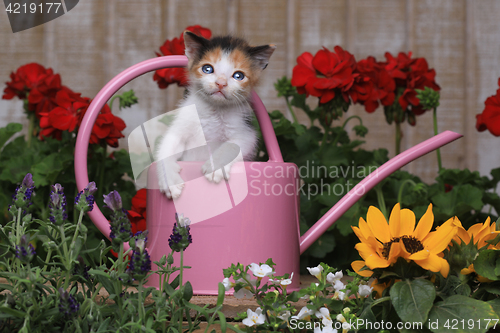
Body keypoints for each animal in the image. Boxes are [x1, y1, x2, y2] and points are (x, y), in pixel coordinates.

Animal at [154, 31, 276, 197]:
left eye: (238, 76)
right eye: (207, 69)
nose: (221, 83)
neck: (215, 109)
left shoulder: (246, 132)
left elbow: (232, 145)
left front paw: (215, 167)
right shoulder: (181, 125)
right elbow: (167, 145)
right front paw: (170, 180)